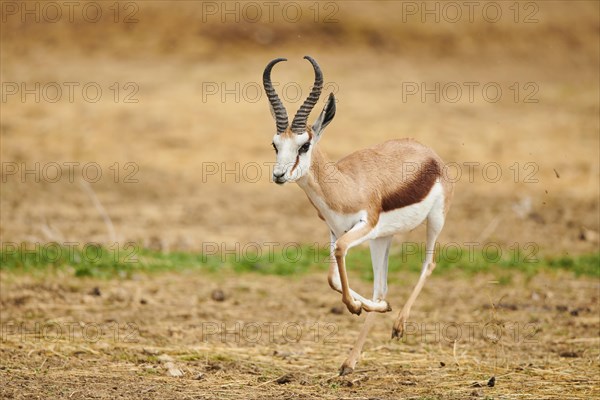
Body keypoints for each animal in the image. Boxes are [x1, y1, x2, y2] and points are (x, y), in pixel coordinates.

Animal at [262, 55, 454, 376]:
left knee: (429, 264)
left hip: (434, 221)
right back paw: (351, 358)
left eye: (304, 145)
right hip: (383, 239)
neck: (344, 187)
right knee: (381, 288)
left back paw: (398, 326)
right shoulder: (335, 231)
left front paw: (353, 307)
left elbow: (341, 255)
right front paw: (362, 306)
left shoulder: (362, 227)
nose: (278, 175)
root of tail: (427, 151)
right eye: (276, 144)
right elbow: (331, 277)